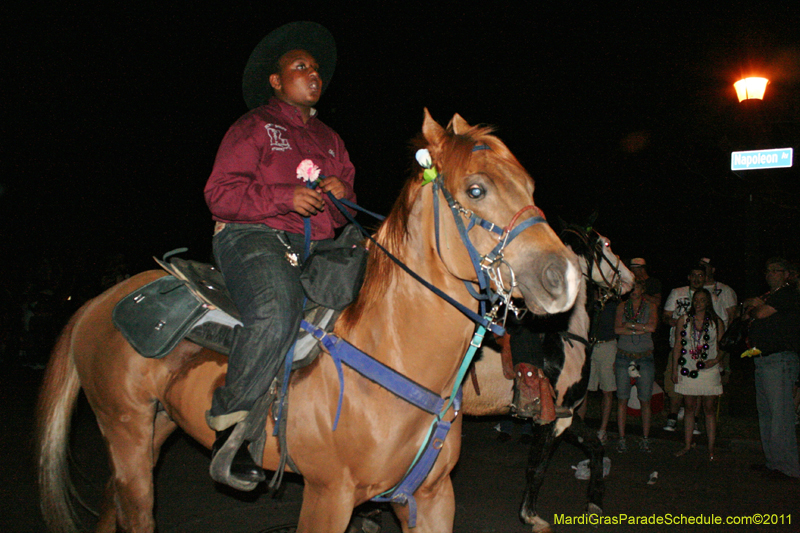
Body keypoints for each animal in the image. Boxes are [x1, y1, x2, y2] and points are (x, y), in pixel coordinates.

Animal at [36, 110, 580, 532]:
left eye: (529, 186)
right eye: (476, 189)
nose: (566, 276)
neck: (392, 349)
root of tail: (101, 300)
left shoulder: (430, 498)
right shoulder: (328, 497)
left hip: (154, 429)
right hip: (124, 429)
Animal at [462, 225, 632, 532]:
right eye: (607, 245)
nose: (630, 279)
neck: (567, 337)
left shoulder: (566, 412)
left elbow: (596, 447)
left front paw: (594, 502)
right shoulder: (552, 419)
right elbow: (537, 468)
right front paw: (530, 515)